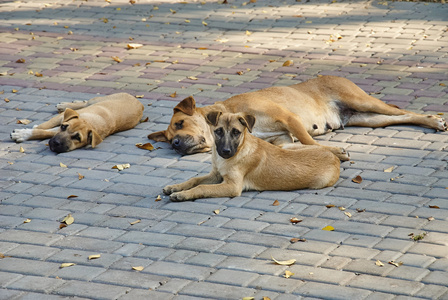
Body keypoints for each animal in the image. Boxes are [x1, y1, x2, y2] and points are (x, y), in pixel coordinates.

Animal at [10, 92, 144, 152]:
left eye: (77, 138)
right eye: (64, 127)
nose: (56, 143)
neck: (89, 122)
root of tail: (140, 103)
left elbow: (45, 132)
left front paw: (23, 134)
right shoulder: (61, 119)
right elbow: (44, 126)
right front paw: (26, 131)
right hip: (97, 100)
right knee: (85, 102)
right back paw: (66, 105)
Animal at [163, 112, 342, 202]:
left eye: (236, 132)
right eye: (218, 131)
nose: (226, 151)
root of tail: (335, 160)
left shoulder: (232, 186)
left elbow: (202, 187)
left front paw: (182, 195)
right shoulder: (216, 175)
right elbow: (194, 180)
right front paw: (176, 187)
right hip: (287, 146)